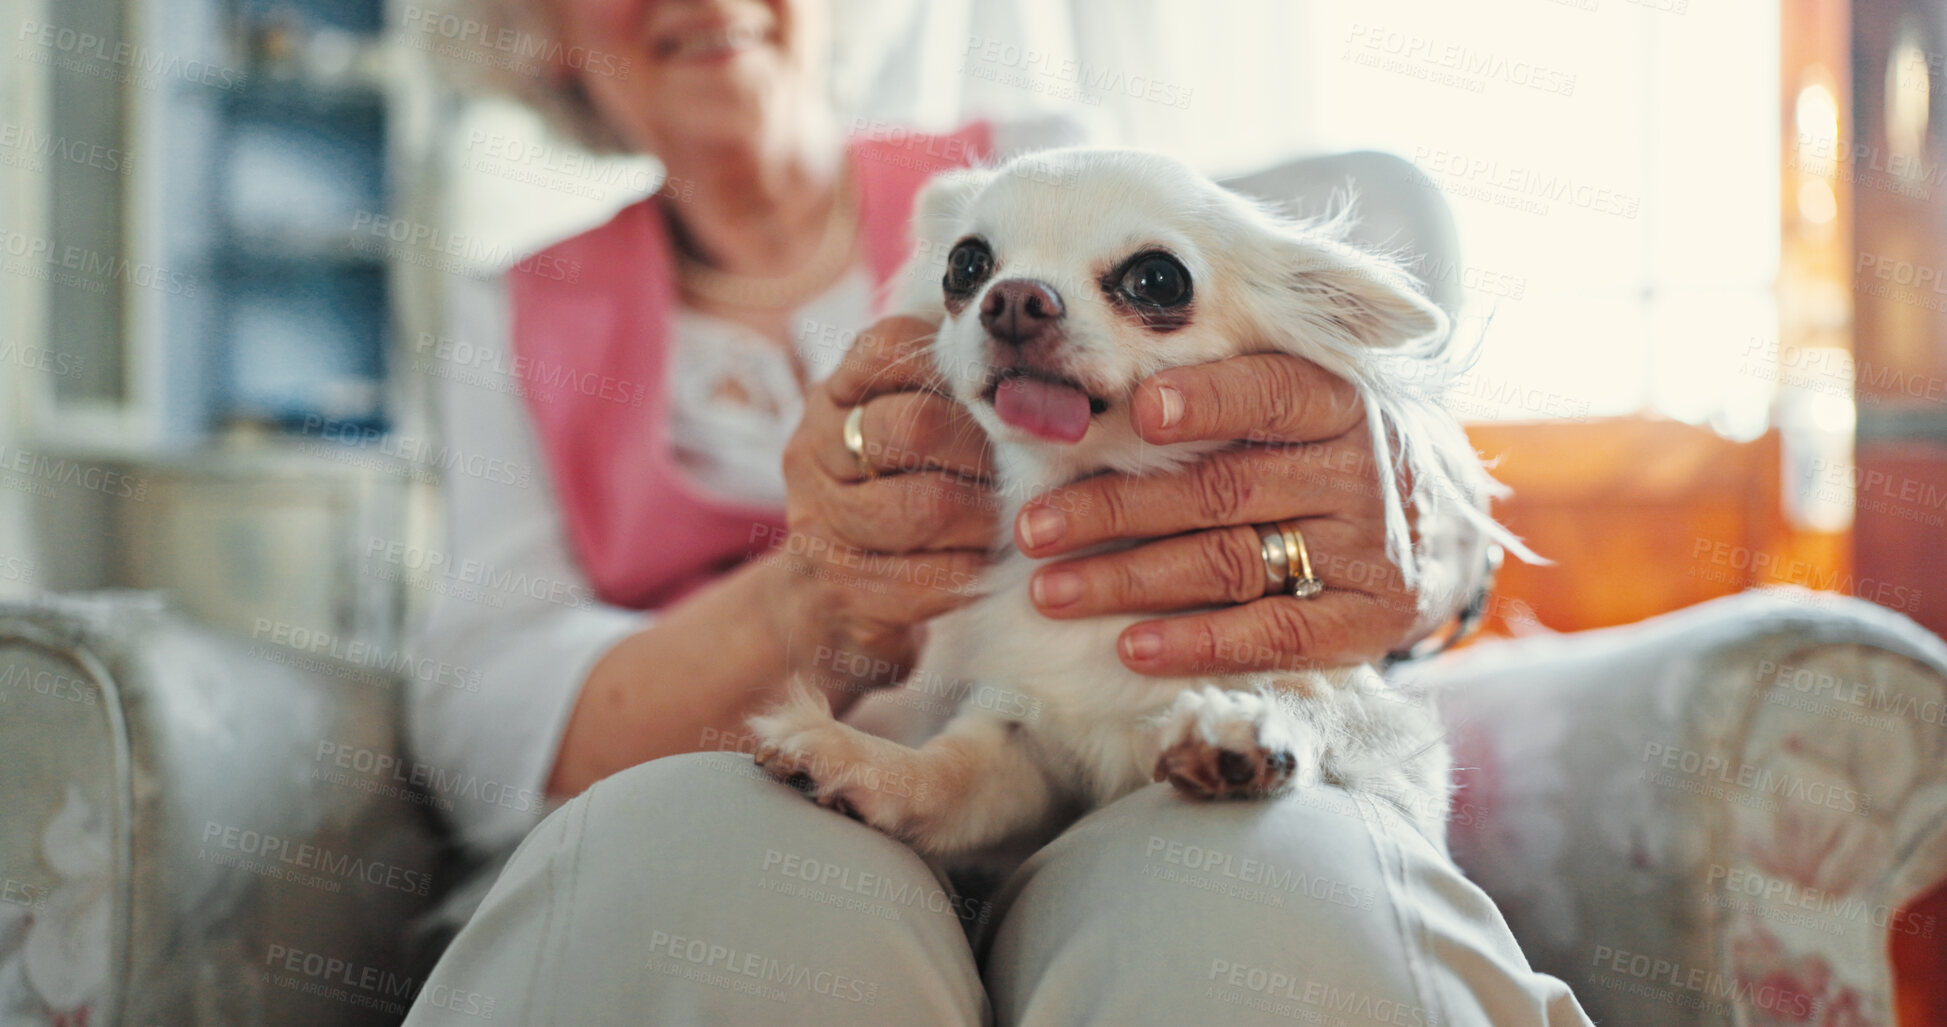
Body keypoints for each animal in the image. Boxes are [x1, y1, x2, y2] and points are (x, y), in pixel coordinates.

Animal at [743, 149, 1503, 857]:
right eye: (966, 265)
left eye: (1158, 279)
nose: (1013, 297)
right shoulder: (1024, 743)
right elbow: (954, 772)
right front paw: (860, 762)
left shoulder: (1400, 763)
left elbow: (1311, 701)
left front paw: (1239, 727)